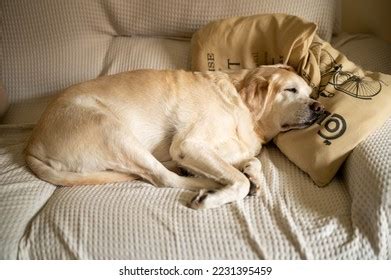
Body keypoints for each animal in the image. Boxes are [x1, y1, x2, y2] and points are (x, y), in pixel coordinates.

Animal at [25, 65, 324, 209]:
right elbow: (238, 180)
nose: (320, 108)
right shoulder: (189, 145)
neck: (240, 104)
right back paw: (206, 185)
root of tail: (31, 145)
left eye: (310, 93)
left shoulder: (225, 150)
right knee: (164, 178)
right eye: (290, 90)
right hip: (111, 129)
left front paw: (255, 176)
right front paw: (222, 193)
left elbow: (252, 161)